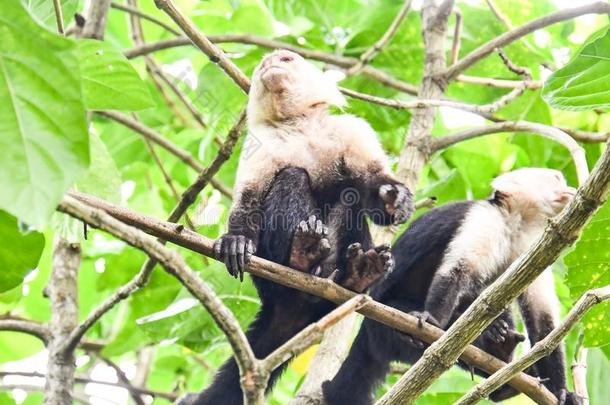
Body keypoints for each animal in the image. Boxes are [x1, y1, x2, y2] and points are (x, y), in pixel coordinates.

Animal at [183, 50, 410, 404]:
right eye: (262, 66)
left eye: (286, 58)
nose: (271, 63)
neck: (299, 125)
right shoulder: (261, 142)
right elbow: (250, 199)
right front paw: (236, 240)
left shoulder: (351, 129)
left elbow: (371, 188)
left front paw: (392, 197)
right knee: (292, 177)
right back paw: (301, 257)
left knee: (349, 194)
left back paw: (357, 276)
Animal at [320, 167, 580, 404]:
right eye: (556, 179)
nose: (570, 189)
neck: (516, 224)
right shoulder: (485, 221)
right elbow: (456, 272)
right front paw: (431, 319)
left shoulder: (534, 244)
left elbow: (542, 322)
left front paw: (561, 391)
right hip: (381, 327)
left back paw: (502, 371)